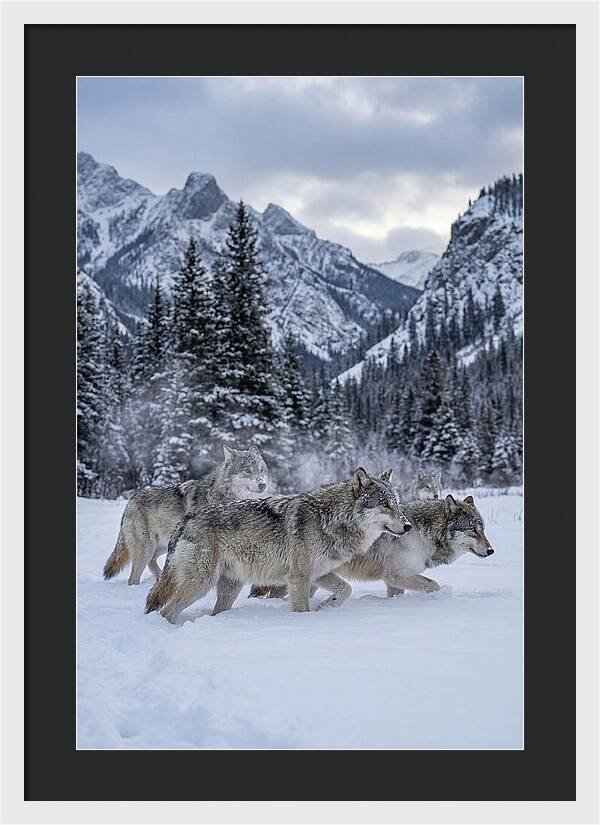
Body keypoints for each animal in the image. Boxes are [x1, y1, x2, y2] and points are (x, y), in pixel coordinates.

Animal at [103, 444, 269, 586]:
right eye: (247, 470)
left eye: (261, 469)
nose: (263, 485)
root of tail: (131, 499)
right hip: (146, 549)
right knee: (133, 578)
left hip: (164, 545)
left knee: (152, 562)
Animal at [145, 467, 412, 623]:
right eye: (385, 504)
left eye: (397, 503)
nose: (408, 525)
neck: (330, 518)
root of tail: (185, 520)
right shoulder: (299, 577)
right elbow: (302, 609)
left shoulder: (319, 573)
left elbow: (346, 589)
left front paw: (327, 606)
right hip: (200, 585)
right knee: (165, 611)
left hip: (229, 588)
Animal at [336, 494, 494, 597]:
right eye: (473, 529)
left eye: (482, 530)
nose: (491, 550)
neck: (425, 535)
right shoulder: (396, 576)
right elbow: (434, 584)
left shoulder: (393, 582)